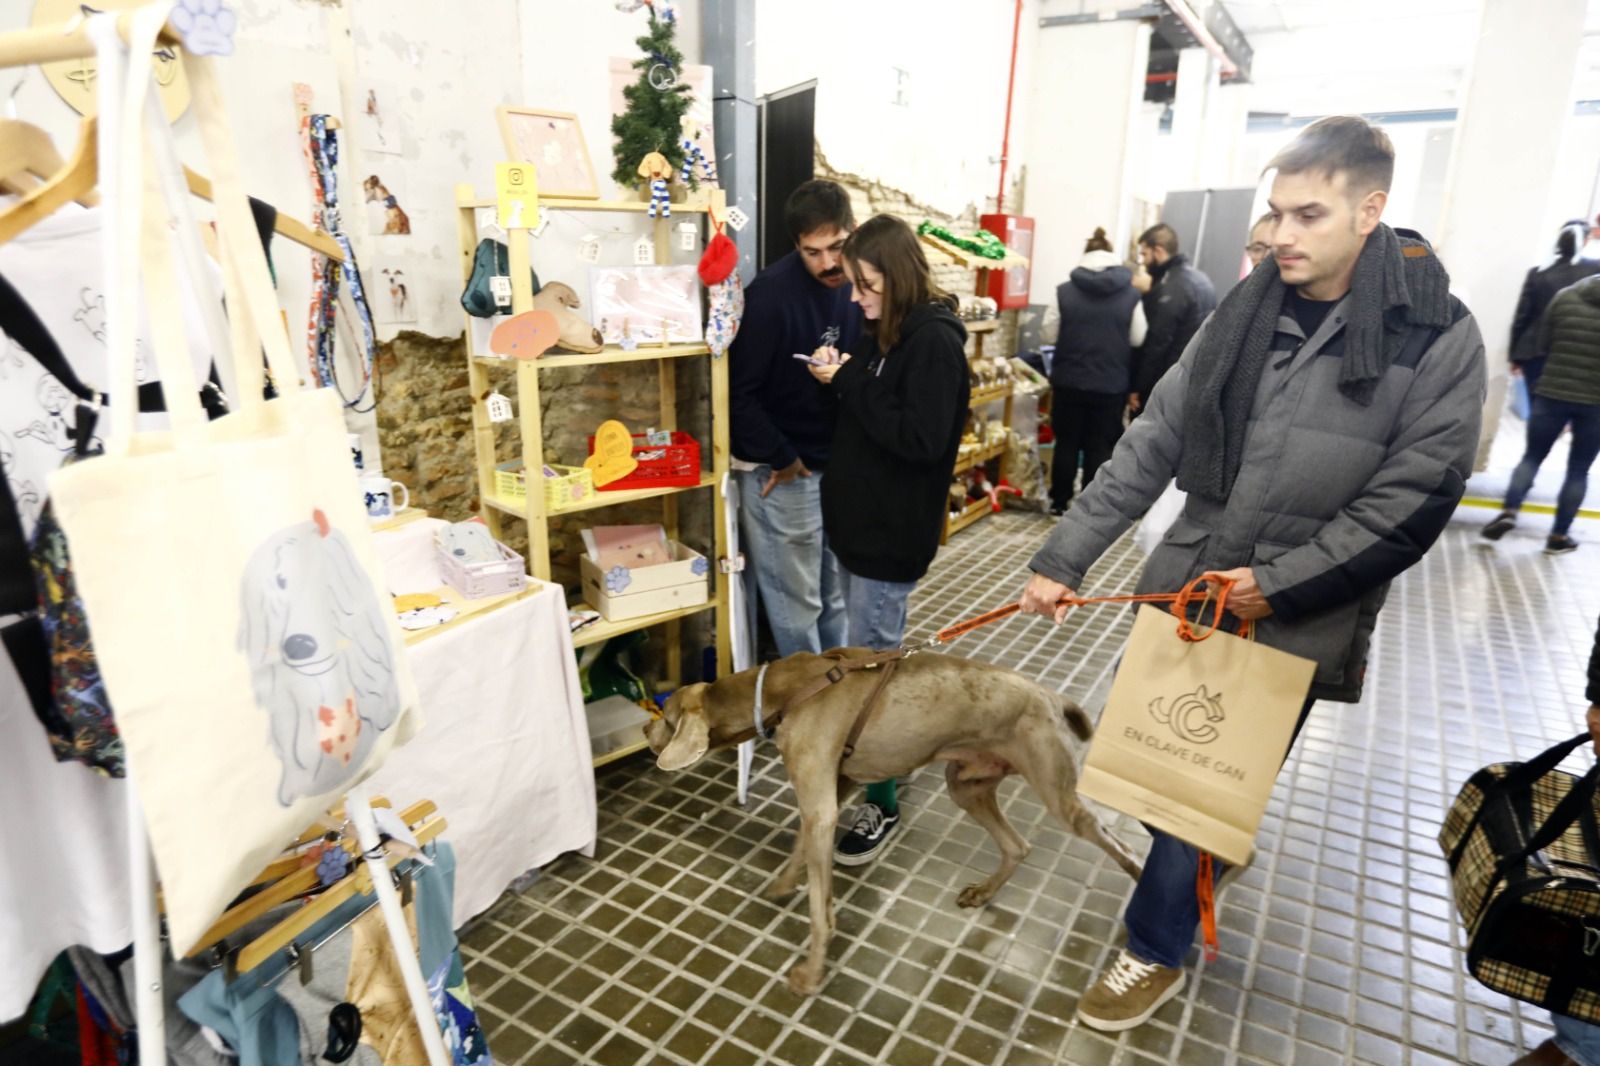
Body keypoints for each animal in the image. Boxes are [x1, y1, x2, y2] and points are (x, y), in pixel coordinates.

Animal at [643, 643, 1145, 992]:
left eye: (666, 716)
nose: (645, 728)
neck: (785, 689)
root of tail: (1051, 695)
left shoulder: (821, 803)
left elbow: (818, 907)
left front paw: (811, 973)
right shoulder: (834, 787)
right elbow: (801, 848)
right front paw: (784, 886)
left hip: (1056, 790)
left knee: (1116, 842)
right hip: (967, 783)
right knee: (1017, 845)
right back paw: (982, 893)